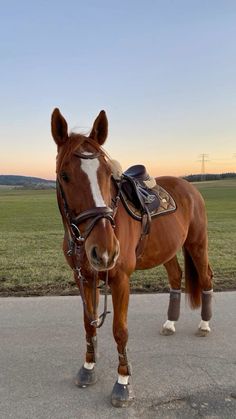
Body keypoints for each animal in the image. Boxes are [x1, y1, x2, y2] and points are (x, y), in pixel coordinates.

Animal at [50, 107, 213, 406]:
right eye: (65, 175)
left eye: (108, 175)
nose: (104, 250)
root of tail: (189, 187)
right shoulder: (85, 278)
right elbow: (89, 324)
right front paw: (88, 368)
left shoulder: (120, 279)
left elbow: (119, 330)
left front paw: (123, 382)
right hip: (168, 250)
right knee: (176, 277)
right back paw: (170, 323)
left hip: (198, 244)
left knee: (206, 278)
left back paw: (205, 324)